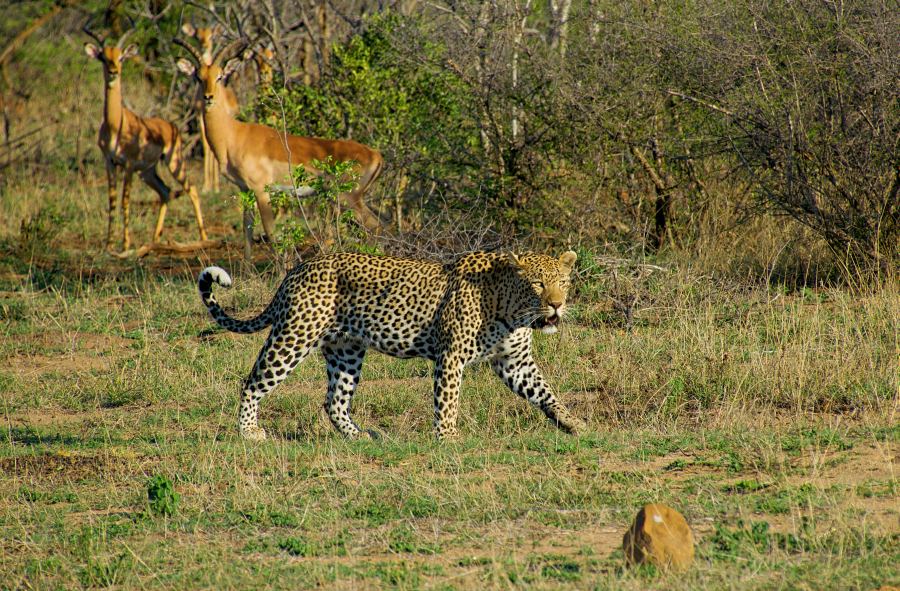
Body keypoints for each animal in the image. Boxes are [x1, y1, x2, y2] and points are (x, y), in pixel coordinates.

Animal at [198, 250, 588, 440]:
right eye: (538, 284)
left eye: (563, 282)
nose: (557, 305)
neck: (512, 309)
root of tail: (297, 269)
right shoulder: (451, 356)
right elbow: (448, 402)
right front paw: (448, 438)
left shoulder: (515, 362)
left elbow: (546, 392)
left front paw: (573, 423)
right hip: (294, 336)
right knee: (252, 383)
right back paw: (249, 433)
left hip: (346, 349)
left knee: (334, 401)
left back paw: (359, 437)